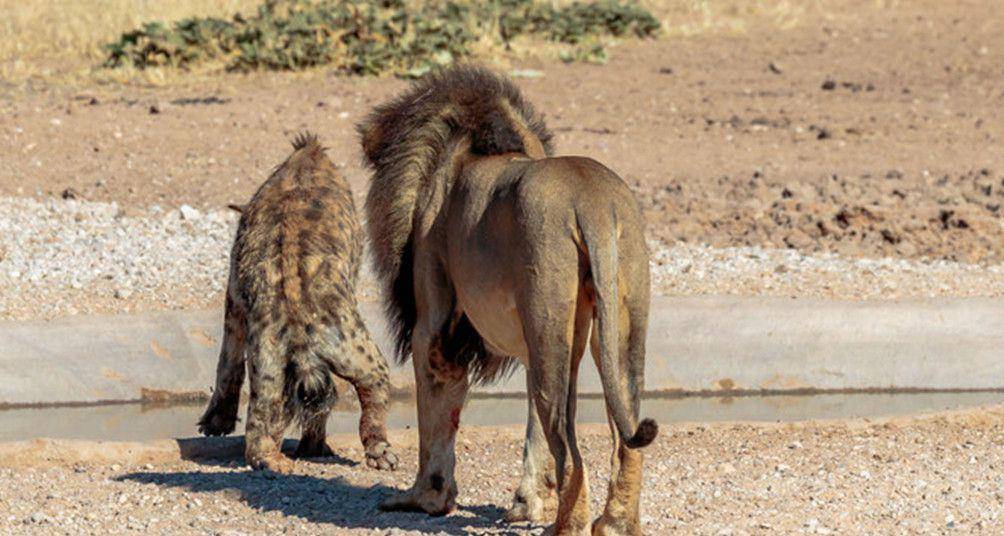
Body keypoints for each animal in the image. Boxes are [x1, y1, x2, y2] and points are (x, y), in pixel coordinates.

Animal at [197, 134, 397, 475]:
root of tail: (299, 326)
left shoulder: (237, 302)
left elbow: (229, 363)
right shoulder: (233, 298)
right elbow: (228, 362)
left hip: (270, 365)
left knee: (261, 428)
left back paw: (277, 462)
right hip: (360, 353)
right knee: (372, 389)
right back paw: (379, 453)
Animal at [361, 65, 658, 533]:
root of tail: (592, 201)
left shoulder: (434, 326)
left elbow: (435, 422)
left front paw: (425, 498)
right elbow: (532, 431)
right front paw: (528, 503)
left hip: (550, 322)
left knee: (570, 448)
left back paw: (565, 526)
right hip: (610, 327)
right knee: (624, 439)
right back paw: (615, 524)